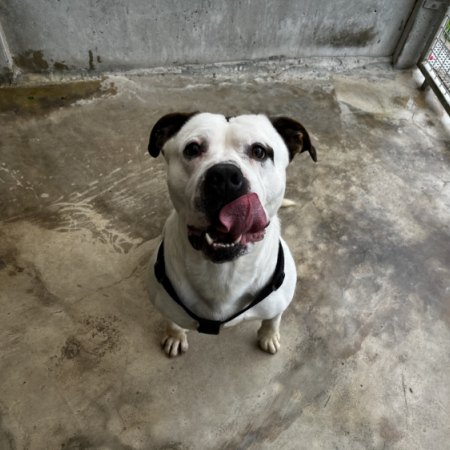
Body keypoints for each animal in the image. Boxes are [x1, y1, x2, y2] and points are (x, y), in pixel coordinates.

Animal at [147, 112, 316, 357]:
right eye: (192, 149)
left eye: (259, 151)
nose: (224, 175)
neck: (223, 271)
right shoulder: (166, 305)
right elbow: (172, 322)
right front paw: (175, 336)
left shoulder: (278, 302)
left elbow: (272, 320)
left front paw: (269, 337)